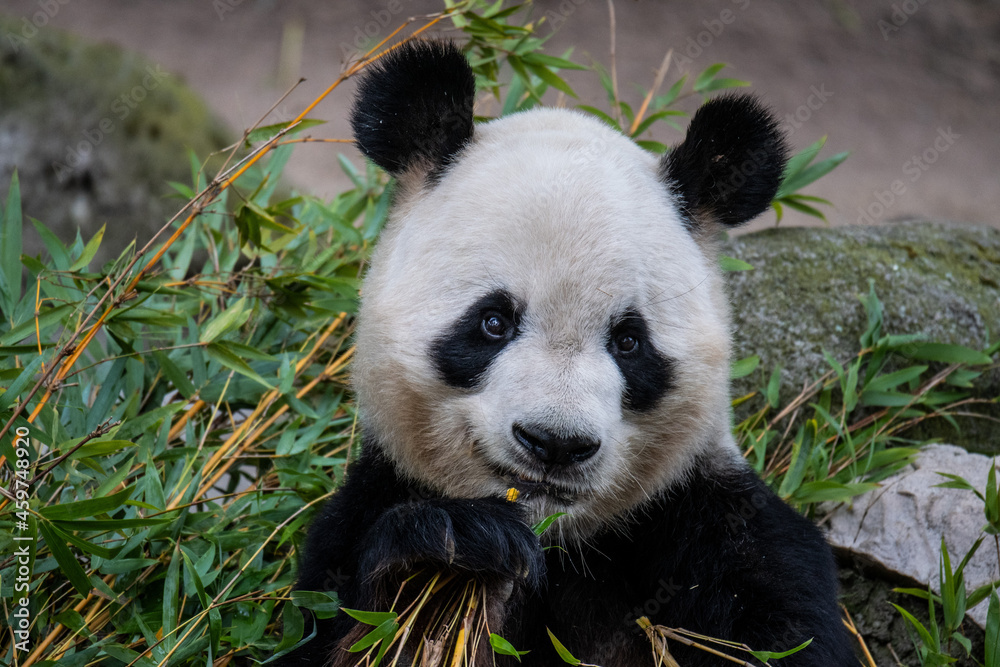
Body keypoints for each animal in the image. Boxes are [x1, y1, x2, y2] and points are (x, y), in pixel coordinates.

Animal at [279, 41, 856, 667]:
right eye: (493, 322)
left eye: (628, 340)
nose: (555, 443)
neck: (556, 539)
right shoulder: (362, 512)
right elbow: (343, 625)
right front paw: (451, 543)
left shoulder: (713, 523)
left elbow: (785, 627)